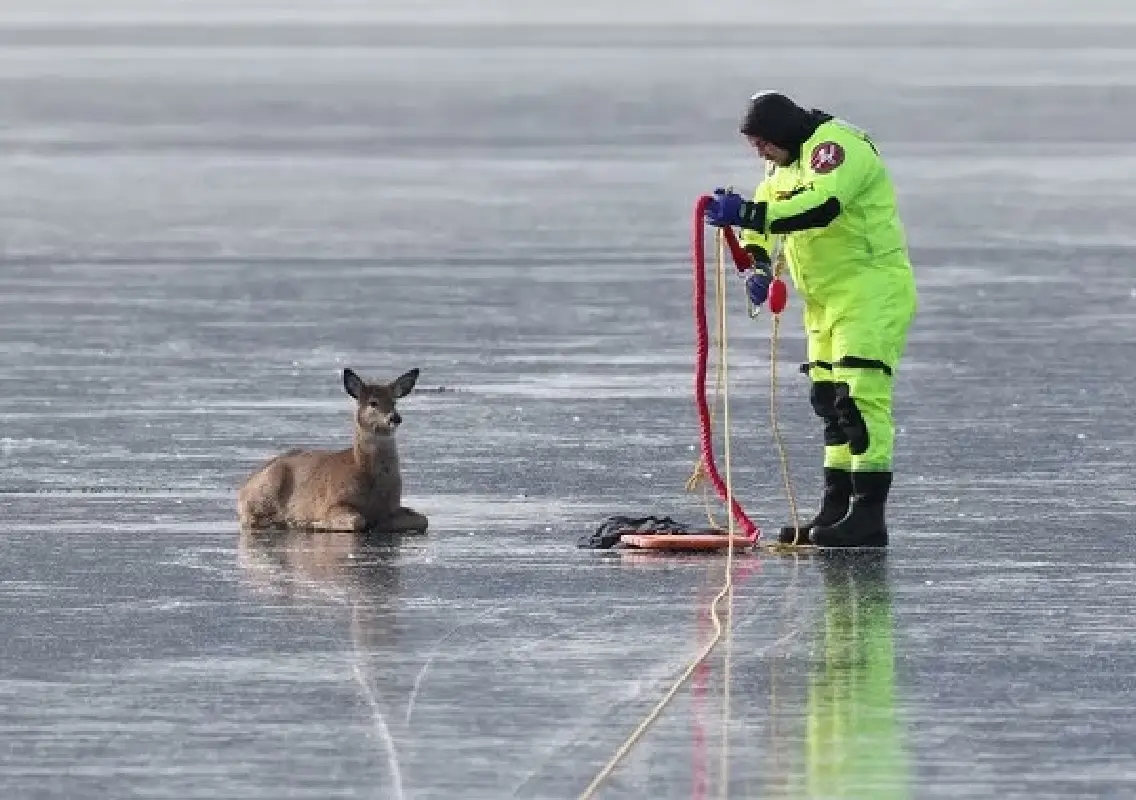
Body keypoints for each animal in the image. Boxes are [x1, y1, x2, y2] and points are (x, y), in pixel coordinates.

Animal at [236, 367, 428, 534]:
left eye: (394, 401)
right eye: (373, 403)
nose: (395, 418)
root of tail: (242, 489)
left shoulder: (392, 506)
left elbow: (423, 520)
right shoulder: (334, 501)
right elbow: (357, 521)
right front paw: (315, 523)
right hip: (268, 486)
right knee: (252, 518)